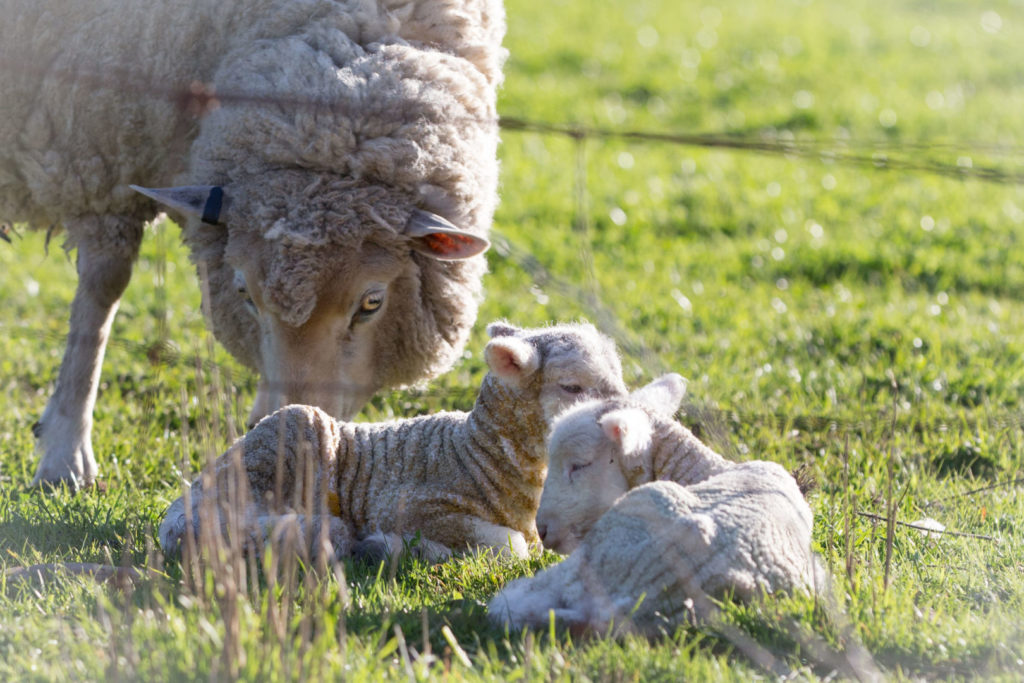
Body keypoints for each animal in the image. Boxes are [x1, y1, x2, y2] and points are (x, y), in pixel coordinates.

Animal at [0, 0, 503, 491]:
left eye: (371, 303)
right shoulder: (98, 151)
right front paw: (64, 453)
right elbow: (102, 290)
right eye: (244, 294)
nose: (292, 445)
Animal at [157, 323, 630, 565]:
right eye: (572, 387)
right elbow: (511, 548)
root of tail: (181, 508)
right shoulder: (414, 506)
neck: (480, 455)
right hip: (285, 445)